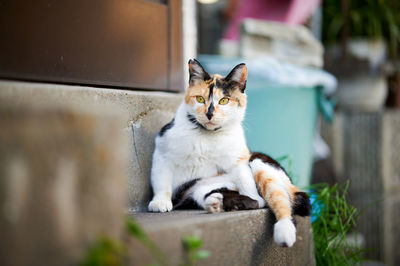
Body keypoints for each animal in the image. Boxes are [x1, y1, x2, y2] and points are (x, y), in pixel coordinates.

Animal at [148, 59, 310, 246]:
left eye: (224, 100)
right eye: (200, 99)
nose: (209, 114)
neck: (207, 137)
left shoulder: (238, 160)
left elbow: (248, 183)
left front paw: (254, 197)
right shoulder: (162, 151)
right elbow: (161, 181)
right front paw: (160, 202)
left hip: (259, 163)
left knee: (282, 201)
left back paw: (283, 230)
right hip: (200, 189)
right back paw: (218, 204)